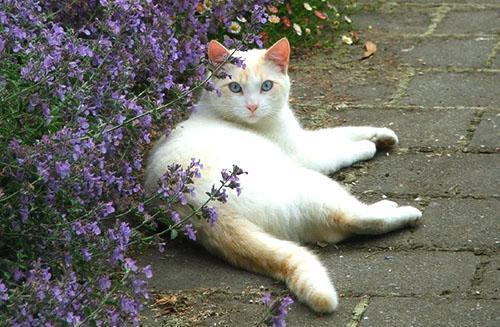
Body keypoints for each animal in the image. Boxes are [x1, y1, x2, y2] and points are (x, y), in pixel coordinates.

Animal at [145, 37, 422, 314]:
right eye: (235, 87)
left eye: (266, 86)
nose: (252, 106)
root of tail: (206, 211)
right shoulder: (304, 153)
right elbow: (339, 146)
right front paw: (368, 146)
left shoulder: (304, 137)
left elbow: (343, 130)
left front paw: (382, 135)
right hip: (311, 181)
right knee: (353, 218)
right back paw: (398, 211)